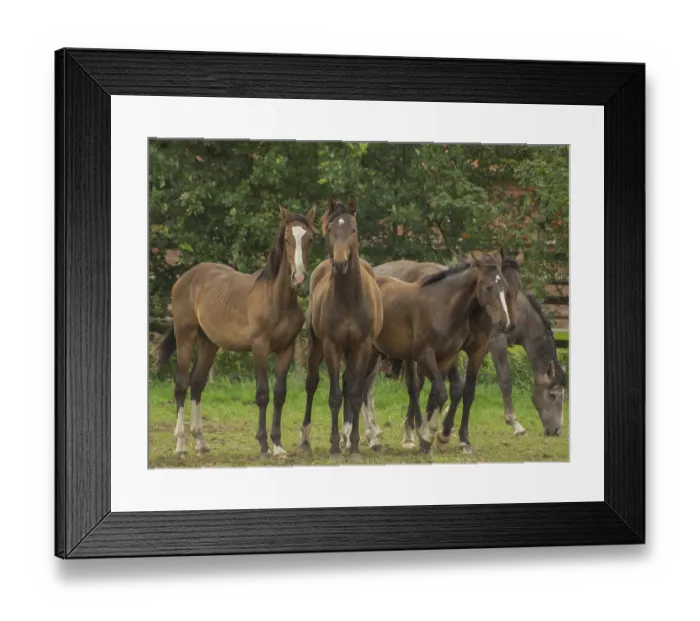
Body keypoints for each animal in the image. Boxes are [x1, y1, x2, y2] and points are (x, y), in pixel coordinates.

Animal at [156, 205, 317, 459]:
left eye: (309, 238)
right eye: (286, 239)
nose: (298, 277)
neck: (277, 299)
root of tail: (184, 279)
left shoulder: (286, 349)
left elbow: (279, 394)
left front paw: (278, 446)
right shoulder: (259, 348)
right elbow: (262, 394)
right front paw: (263, 446)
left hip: (209, 343)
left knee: (197, 383)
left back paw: (201, 442)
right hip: (185, 337)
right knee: (181, 385)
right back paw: (181, 445)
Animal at [300, 196, 384, 463]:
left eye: (353, 229)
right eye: (330, 230)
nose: (339, 264)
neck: (348, 299)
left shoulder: (362, 347)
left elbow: (355, 395)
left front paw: (354, 447)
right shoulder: (331, 346)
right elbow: (335, 396)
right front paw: (335, 448)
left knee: (350, 385)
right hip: (315, 346)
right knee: (311, 384)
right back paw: (305, 441)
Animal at [366, 250, 566, 454]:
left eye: (516, 287)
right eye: (553, 395)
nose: (556, 430)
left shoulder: (474, 350)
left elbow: (465, 390)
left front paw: (450, 433)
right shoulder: (493, 344)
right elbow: (495, 382)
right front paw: (514, 424)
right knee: (390, 385)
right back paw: (385, 434)